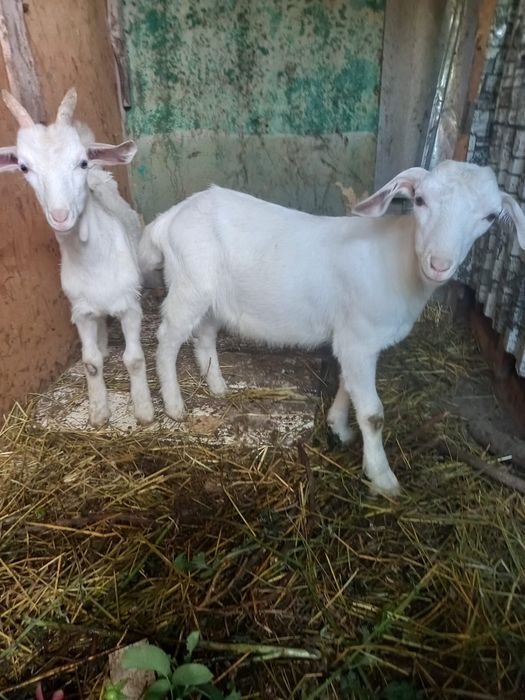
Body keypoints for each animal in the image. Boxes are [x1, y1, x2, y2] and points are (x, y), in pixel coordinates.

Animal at [0, 88, 154, 427]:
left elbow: (135, 359)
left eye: (81, 161)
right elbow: (90, 362)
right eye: (24, 167)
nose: (60, 215)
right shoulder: (80, 311)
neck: (93, 259)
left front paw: (144, 410)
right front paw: (98, 412)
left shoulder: (130, 305)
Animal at [139, 161, 525, 494]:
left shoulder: (353, 338)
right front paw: (382, 478)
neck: (399, 262)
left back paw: (218, 387)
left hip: (211, 295)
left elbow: (346, 386)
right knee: (167, 339)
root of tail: (168, 218)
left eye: (490, 216)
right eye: (419, 200)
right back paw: (174, 406)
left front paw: (339, 427)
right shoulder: (359, 338)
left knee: (204, 335)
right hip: (189, 285)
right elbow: (372, 413)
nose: (440, 263)